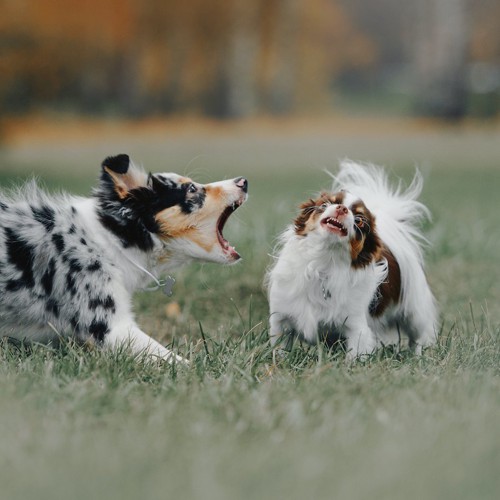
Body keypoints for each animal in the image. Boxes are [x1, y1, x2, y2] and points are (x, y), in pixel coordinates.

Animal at [268, 160, 436, 360]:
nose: (342, 208)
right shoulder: (281, 320)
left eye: (360, 221)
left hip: (414, 313)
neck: (324, 263)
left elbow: (355, 355)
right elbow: (280, 350)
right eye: (325, 204)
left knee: (419, 336)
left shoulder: (356, 328)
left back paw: (419, 356)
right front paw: (278, 362)